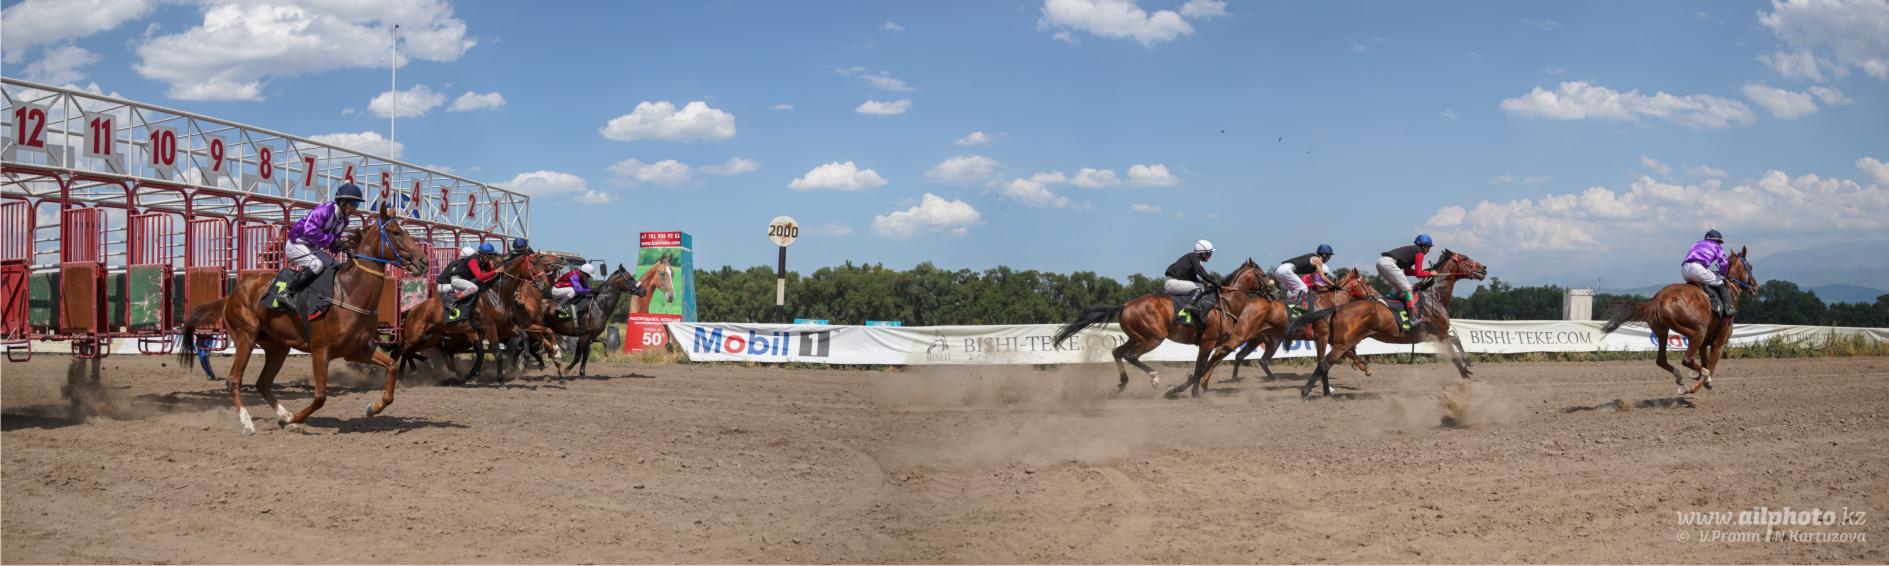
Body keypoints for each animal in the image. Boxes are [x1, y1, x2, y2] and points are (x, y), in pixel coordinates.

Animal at [177, 204, 429, 436]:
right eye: (396, 232)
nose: (423, 260)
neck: (349, 293)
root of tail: (231, 295)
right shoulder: (320, 351)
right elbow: (320, 397)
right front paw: (293, 419)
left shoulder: (356, 350)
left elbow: (392, 367)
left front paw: (373, 407)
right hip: (245, 337)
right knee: (234, 380)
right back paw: (249, 423)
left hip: (277, 347)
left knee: (262, 382)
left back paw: (283, 415)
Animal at [1053, 259, 1271, 399]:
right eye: (1262, 274)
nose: (1272, 292)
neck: (1225, 303)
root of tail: (1125, 305)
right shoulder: (1207, 342)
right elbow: (1200, 367)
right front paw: (1193, 392)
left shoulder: (1214, 344)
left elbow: (1204, 367)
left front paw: (1177, 389)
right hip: (1153, 338)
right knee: (1130, 356)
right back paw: (1154, 378)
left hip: (1137, 337)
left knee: (1117, 352)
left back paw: (1121, 385)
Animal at [1223, 269, 1381, 382]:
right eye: (1367, 283)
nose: (1378, 296)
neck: (1328, 302)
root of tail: (1246, 304)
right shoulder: (1324, 336)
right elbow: (1345, 352)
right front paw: (1366, 368)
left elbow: (1349, 351)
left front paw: (1365, 367)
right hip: (1251, 336)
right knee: (1250, 357)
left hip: (1263, 339)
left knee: (1248, 358)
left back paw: (1238, 379)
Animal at [1283, 250, 1488, 398]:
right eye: (1464, 257)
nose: (1484, 268)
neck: (1434, 296)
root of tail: (1337, 307)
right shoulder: (1441, 332)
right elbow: (1454, 351)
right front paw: (1465, 371)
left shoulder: (1436, 335)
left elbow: (1457, 341)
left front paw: (1468, 366)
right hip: (1342, 343)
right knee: (1325, 363)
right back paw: (1307, 392)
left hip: (1341, 341)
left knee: (1326, 362)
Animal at [1600, 247, 1756, 395]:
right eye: (1750, 266)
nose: (1755, 287)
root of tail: (1660, 297)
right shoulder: (1718, 344)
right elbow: (1710, 367)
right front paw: (1703, 382)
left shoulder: (1704, 344)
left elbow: (1704, 362)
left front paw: (1697, 376)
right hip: (1698, 332)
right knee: (1688, 359)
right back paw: (1695, 380)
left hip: (1662, 331)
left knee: (1662, 359)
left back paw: (1681, 378)